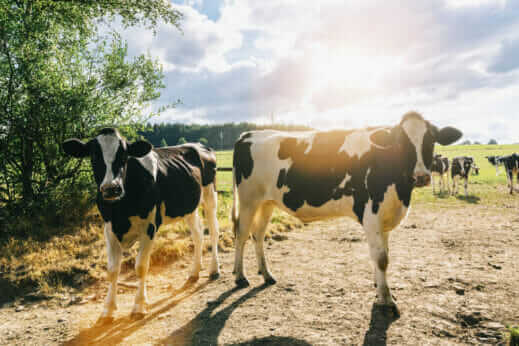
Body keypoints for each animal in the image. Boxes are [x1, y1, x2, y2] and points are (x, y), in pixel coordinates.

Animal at [63, 128, 221, 324]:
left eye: (124, 155)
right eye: (94, 155)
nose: (111, 188)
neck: (121, 210)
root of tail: (197, 145)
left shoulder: (149, 227)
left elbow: (141, 267)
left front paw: (138, 306)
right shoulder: (109, 229)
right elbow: (112, 270)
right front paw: (108, 310)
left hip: (210, 196)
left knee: (213, 231)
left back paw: (214, 269)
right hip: (189, 207)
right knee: (198, 234)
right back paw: (194, 272)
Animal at [232, 111, 464, 314]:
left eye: (431, 140)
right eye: (401, 142)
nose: (421, 176)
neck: (400, 190)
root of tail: (249, 134)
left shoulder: (385, 217)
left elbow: (383, 255)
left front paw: (379, 291)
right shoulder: (372, 215)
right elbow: (381, 258)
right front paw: (387, 301)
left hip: (266, 202)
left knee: (258, 235)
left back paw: (266, 274)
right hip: (247, 200)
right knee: (241, 235)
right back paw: (240, 277)